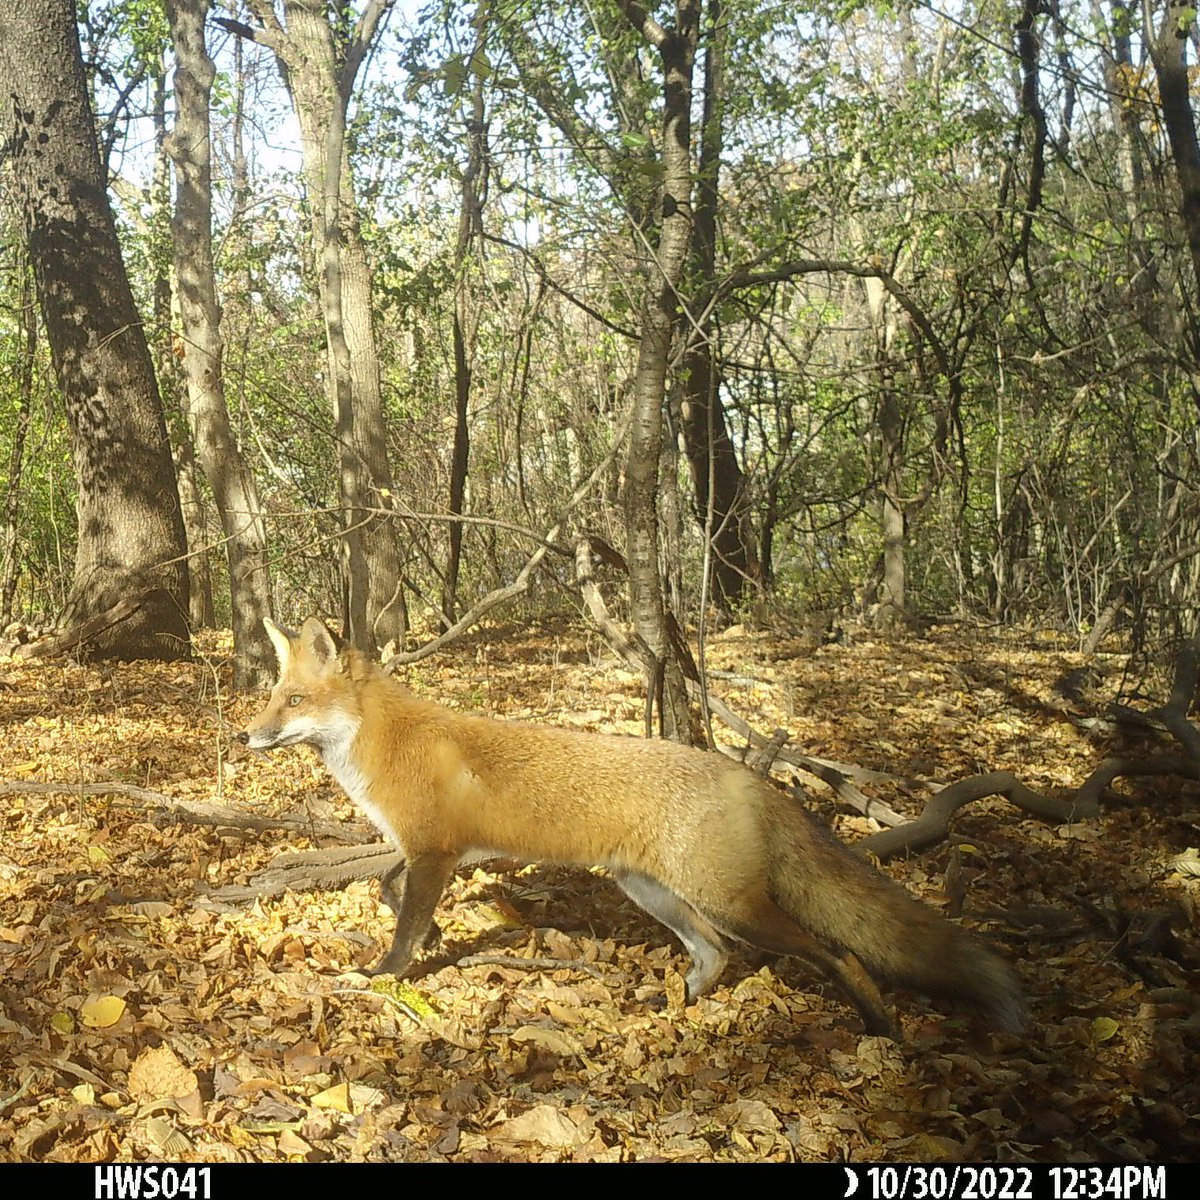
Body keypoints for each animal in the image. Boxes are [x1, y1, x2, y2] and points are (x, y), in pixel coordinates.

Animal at [238, 615, 1025, 1038]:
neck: (383, 745)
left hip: (730, 902)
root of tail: (746, 775)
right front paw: (425, 938)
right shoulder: (430, 850)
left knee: (837, 954)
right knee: (715, 956)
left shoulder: (437, 849)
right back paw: (675, 1009)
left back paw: (880, 1027)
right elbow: (387, 889)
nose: (247, 736)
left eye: (293, 702)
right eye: (273, 698)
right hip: (651, 892)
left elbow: (401, 928)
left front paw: (385, 974)